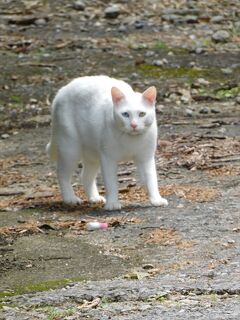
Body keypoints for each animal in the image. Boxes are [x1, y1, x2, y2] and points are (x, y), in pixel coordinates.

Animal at [46, 74, 168, 210]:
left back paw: (94, 198)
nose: (134, 125)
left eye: (142, 114)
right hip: (70, 150)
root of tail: (61, 91)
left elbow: (151, 179)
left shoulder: (145, 158)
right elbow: (111, 183)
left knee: (85, 176)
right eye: (125, 114)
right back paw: (70, 198)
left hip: (92, 155)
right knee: (62, 174)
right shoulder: (108, 159)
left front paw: (156, 199)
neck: (130, 139)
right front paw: (113, 204)